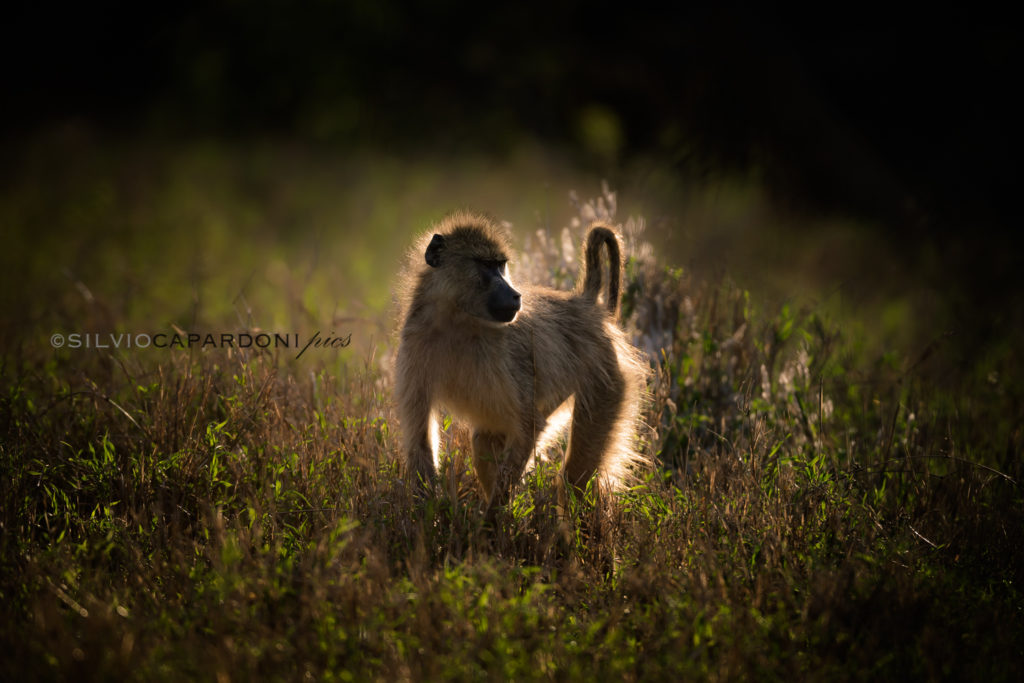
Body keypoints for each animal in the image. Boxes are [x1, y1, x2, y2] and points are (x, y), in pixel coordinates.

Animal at [393, 210, 647, 518]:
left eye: (501, 265)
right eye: (486, 265)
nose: (515, 295)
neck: (458, 320)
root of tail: (586, 307)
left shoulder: (507, 356)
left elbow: (529, 427)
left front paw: (489, 524)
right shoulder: (415, 343)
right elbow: (420, 436)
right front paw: (431, 517)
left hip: (606, 382)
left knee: (575, 479)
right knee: (484, 442)